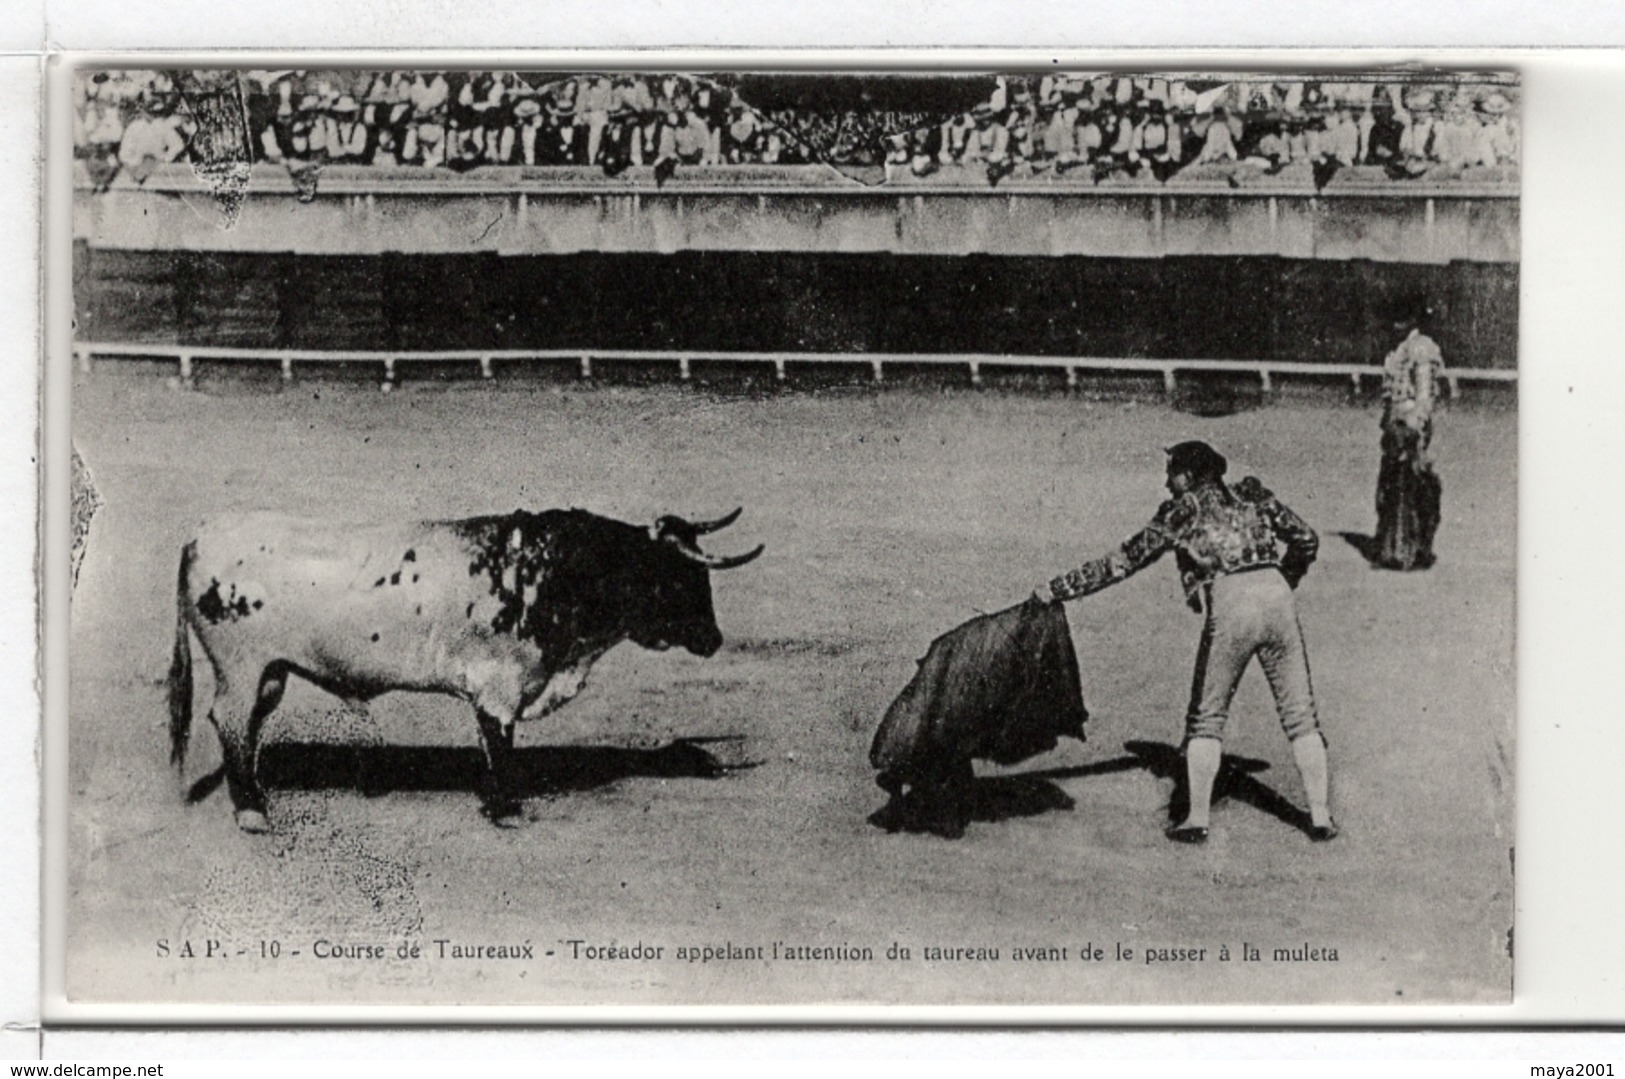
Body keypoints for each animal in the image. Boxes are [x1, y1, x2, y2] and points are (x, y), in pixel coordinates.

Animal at [168, 507, 763, 832]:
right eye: (673, 577)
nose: (713, 639)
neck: (549, 574)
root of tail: (201, 533)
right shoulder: (499, 686)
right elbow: (500, 745)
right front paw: (507, 808)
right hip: (240, 667)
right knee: (230, 722)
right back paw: (251, 811)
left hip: (270, 671)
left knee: (247, 727)